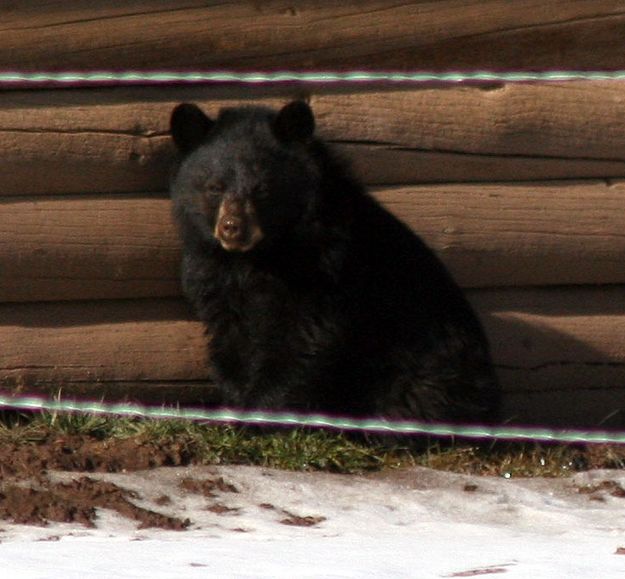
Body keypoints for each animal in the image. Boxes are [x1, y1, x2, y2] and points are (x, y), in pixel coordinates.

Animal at [168, 101, 500, 426]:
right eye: (214, 187)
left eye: (261, 188)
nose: (231, 228)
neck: (259, 255)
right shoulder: (213, 272)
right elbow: (229, 336)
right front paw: (231, 408)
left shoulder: (326, 267)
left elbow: (305, 337)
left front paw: (258, 415)